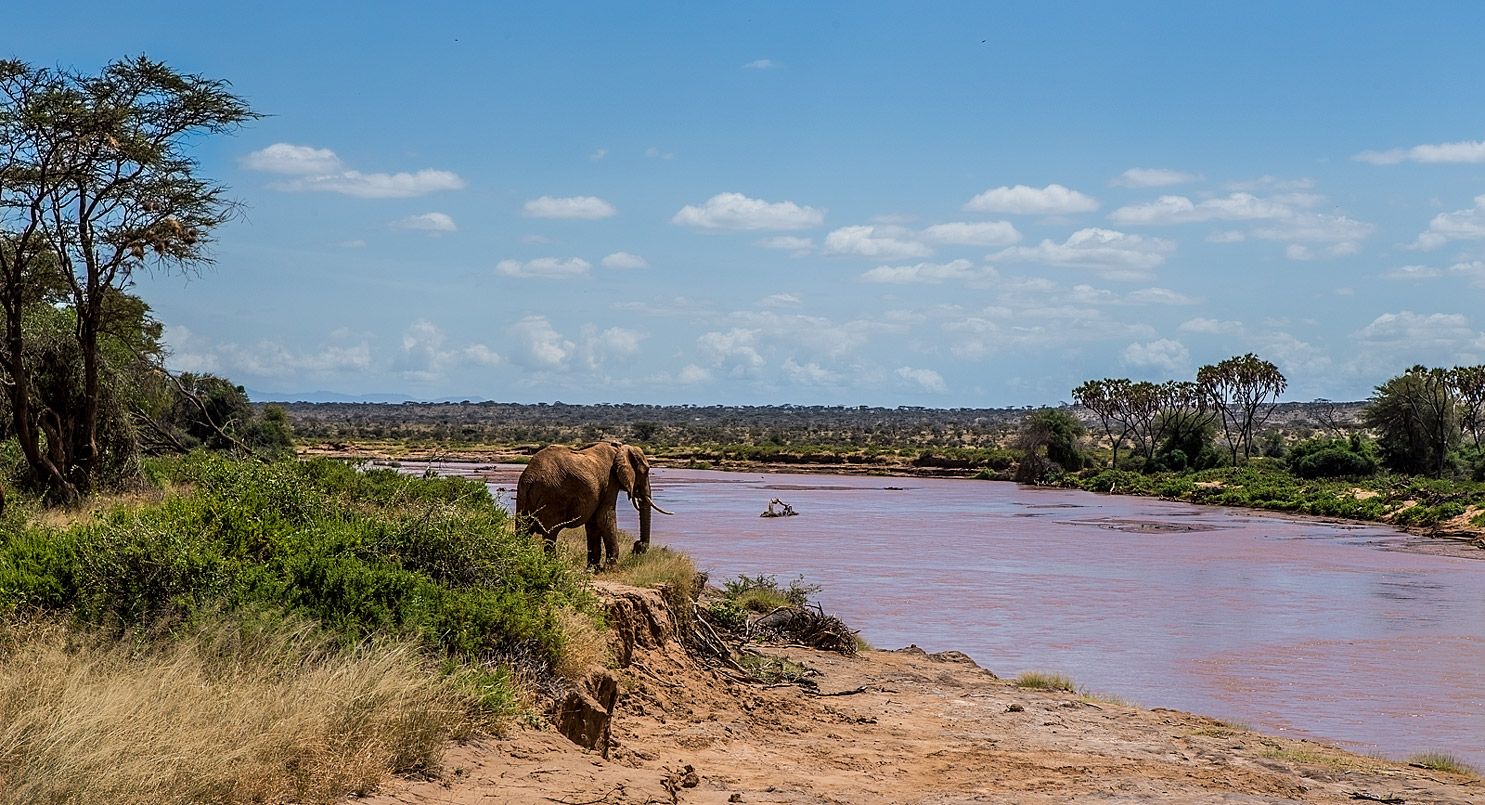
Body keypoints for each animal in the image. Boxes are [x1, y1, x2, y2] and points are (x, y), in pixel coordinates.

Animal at [513, 445, 671, 570]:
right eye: (646, 471)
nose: (638, 547)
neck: (619, 449)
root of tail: (530, 478)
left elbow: (594, 524)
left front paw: (593, 569)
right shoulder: (610, 482)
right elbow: (605, 517)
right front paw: (610, 569)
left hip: (522, 496)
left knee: (523, 530)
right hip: (552, 497)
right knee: (550, 534)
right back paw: (552, 567)